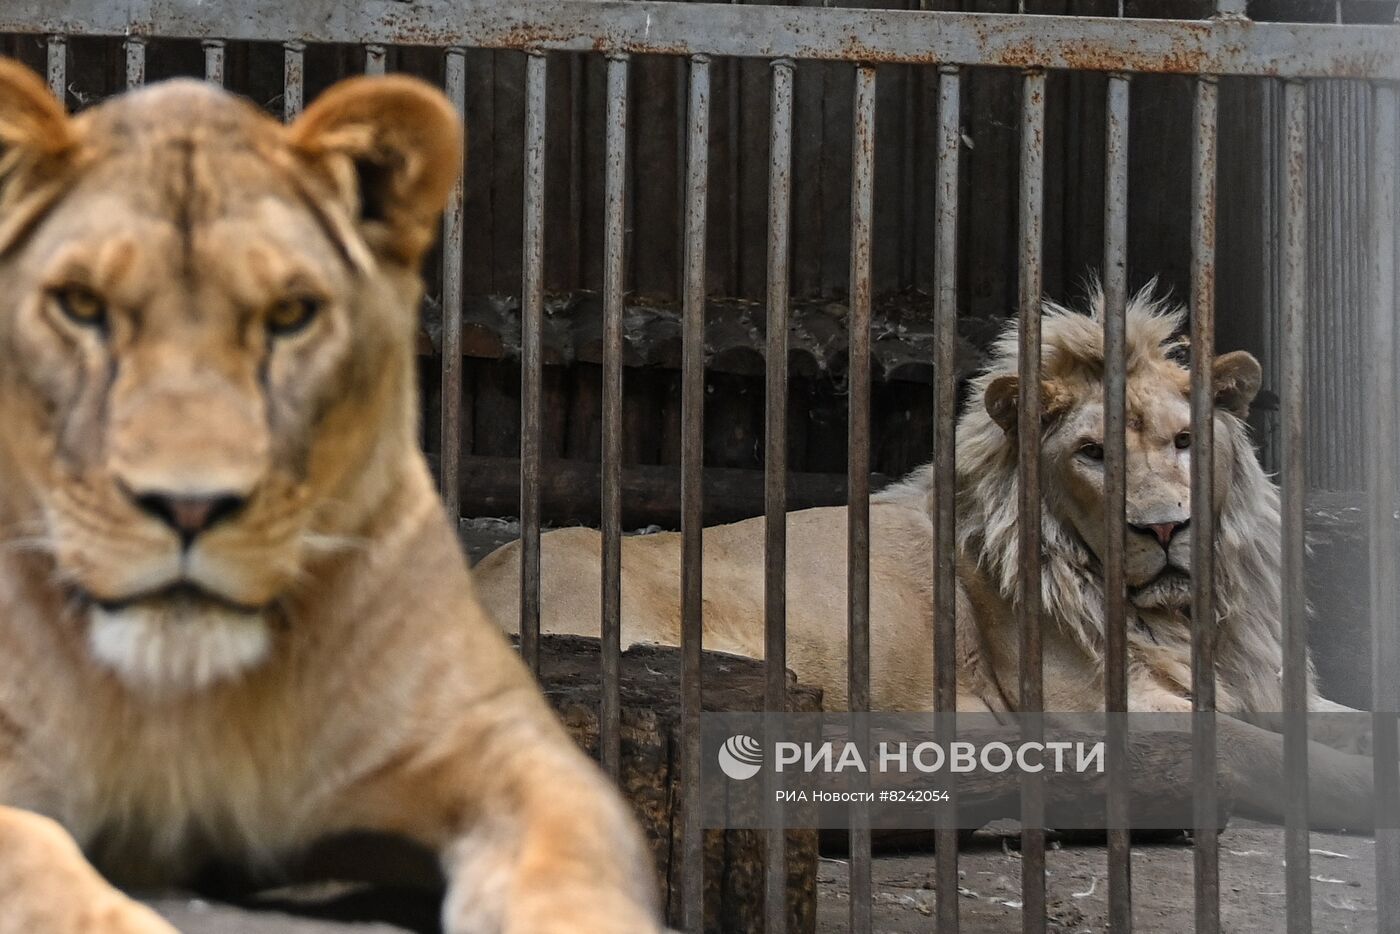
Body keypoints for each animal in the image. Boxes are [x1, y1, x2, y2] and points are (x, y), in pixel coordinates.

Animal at [0, 60, 660, 934]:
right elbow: (30, 855)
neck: (179, 697)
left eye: (290, 315)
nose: (189, 507)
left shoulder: (500, 739)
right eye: (80, 305)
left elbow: (569, 856)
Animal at [478, 289, 1377, 823]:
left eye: (1185, 441)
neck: (1180, 617)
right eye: (1092, 454)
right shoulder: (1099, 713)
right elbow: (1266, 754)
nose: (1162, 529)